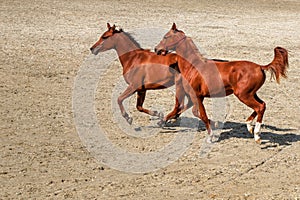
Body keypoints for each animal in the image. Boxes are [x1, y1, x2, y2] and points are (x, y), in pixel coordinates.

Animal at [155, 22, 288, 143]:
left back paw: (256, 135)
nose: (156, 49)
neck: (193, 66)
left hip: (243, 95)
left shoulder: (196, 96)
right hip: (251, 93)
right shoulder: (198, 97)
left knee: (259, 107)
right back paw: (249, 125)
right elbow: (189, 112)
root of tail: (260, 67)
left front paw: (211, 135)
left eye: (166, 37)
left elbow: (201, 115)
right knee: (262, 105)